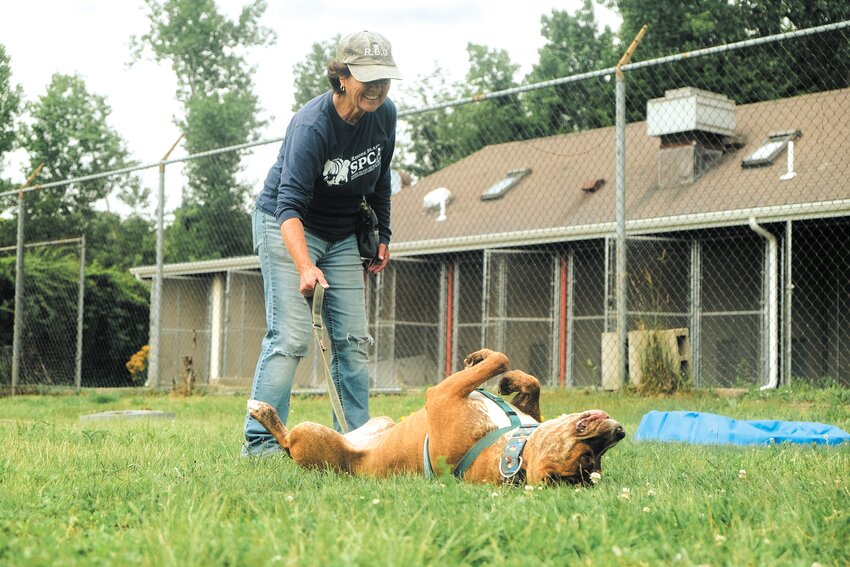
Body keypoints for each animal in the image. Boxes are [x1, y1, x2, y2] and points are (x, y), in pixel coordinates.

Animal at [245, 348, 624, 486]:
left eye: (589, 458)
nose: (619, 431)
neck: (512, 451)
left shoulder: (441, 394)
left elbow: (499, 358)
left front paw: (489, 365)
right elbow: (524, 379)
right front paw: (503, 378)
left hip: (311, 437)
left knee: (286, 442)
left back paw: (263, 410)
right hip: (381, 420)